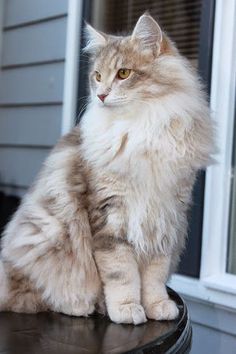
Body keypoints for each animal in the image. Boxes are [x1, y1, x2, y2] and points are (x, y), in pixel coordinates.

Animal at [0, 14, 214, 324]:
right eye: (98, 76)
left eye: (124, 73)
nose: (101, 95)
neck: (142, 129)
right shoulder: (110, 216)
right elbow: (121, 273)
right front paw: (126, 309)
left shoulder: (166, 217)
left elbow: (154, 275)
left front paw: (157, 306)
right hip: (44, 236)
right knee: (31, 296)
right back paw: (80, 305)